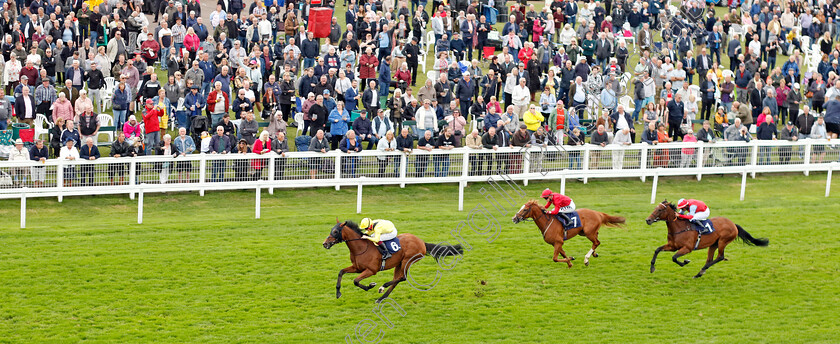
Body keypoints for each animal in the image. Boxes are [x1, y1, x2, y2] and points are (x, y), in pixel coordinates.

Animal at [324, 219, 466, 302]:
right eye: (331, 230)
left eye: (335, 231)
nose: (325, 244)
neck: (361, 247)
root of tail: (422, 242)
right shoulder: (357, 268)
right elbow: (341, 272)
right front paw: (338, 293)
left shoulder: (371, 270)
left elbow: (355, 281)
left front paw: (371, 285)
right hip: (399, 263)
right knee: (397, 280)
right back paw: (381, 298)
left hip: (407, 261)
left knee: (402, 278)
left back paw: (382, 287)